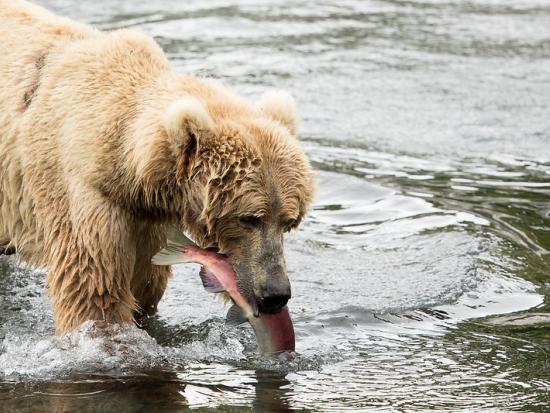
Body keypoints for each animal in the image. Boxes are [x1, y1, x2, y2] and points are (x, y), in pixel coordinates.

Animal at [0, 0, 314, 334]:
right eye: (249, 218)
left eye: (288, 221)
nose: (276, 294)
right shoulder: (84, 193)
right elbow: (93, 290)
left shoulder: (146, 219)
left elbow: (145, 285)